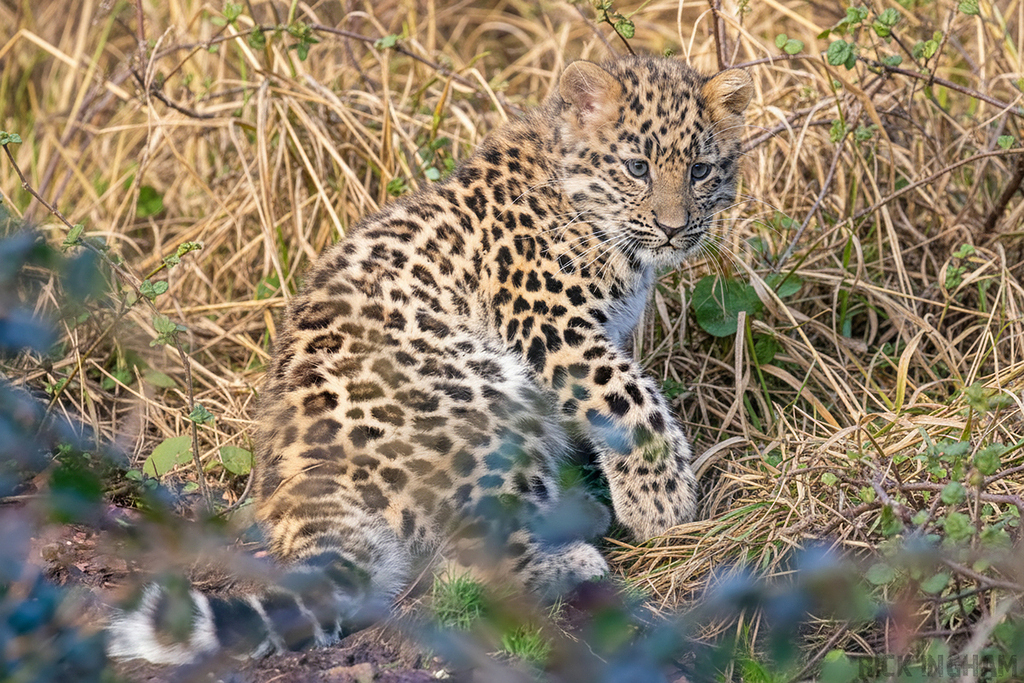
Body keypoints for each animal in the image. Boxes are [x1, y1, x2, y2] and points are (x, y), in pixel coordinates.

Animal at [106, 54, 753, 665]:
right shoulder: (549, 327)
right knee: (468, 569)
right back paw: (577, 558)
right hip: (490, 386)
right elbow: (628, 399)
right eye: (636, 167)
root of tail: (305, 483)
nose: (674, 230)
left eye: (700, 170)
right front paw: (663, 507)